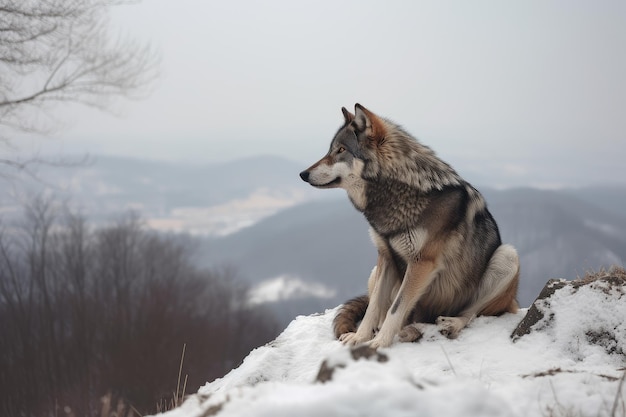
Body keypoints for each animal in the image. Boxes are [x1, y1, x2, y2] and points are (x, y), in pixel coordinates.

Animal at [298, 103, 516, 348]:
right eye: (331, 150)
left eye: (341, 150)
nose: (303, 174)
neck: (400, 192)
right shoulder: (386, 257)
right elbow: (374, 306)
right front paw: (361, 337)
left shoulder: (421, 263)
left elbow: (396, 308)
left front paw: (379, 342)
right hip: (374, 272)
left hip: (508, 255)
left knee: (470, 313)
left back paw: (451, 324)